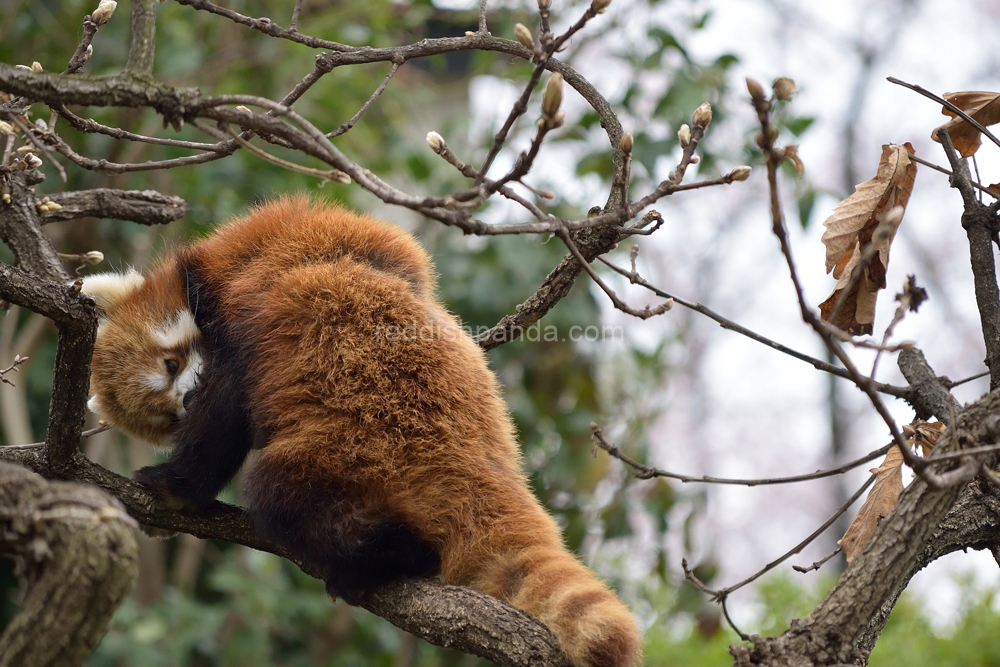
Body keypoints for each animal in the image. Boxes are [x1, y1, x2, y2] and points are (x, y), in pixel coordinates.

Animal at [82, 198, 640, 667]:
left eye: (171, 364)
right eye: (165, 416)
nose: (185, 401)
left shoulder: (245, 294)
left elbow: (222, 421)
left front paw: (174, 490)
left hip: (352, 452)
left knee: (283, 494)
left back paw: (386, 559)